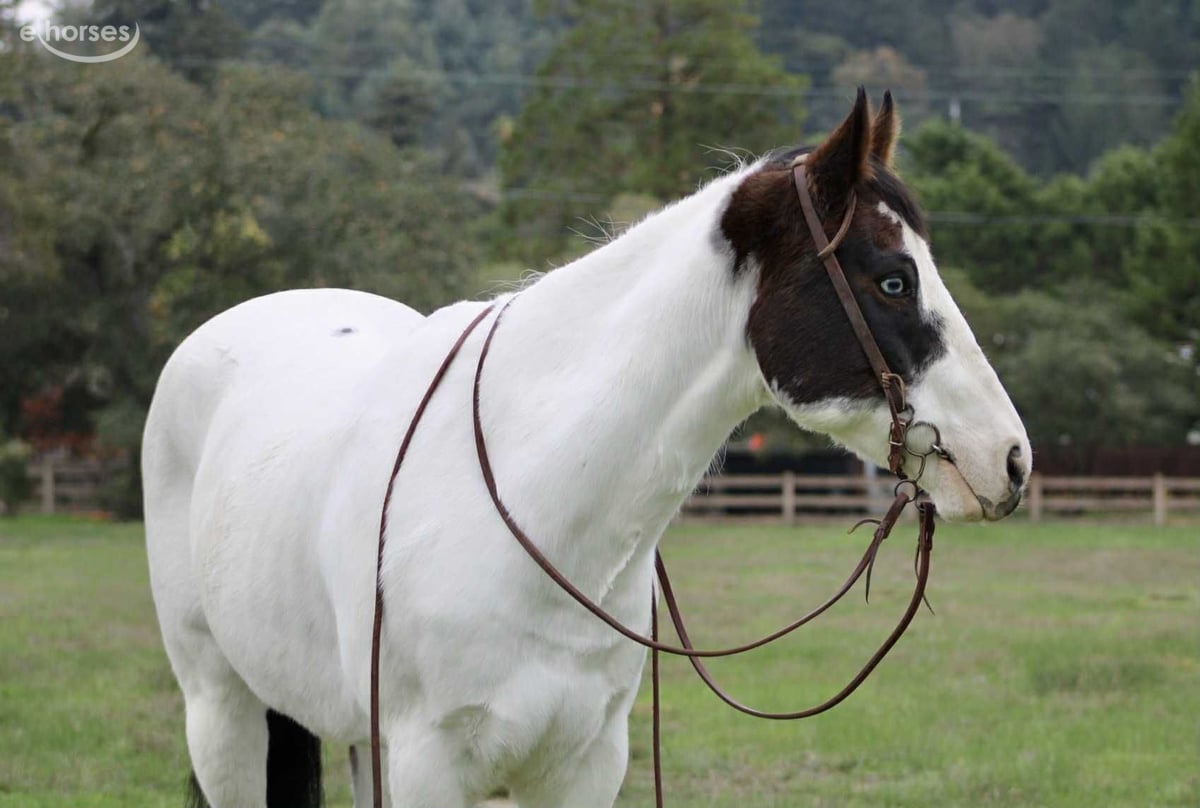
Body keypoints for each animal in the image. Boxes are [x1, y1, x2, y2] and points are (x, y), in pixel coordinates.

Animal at [142, 89, 1031, 808]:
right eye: (892, 280)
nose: (1011, 460)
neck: (529, 504)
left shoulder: (582, 764)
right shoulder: (428, 767)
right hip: (223, 713)